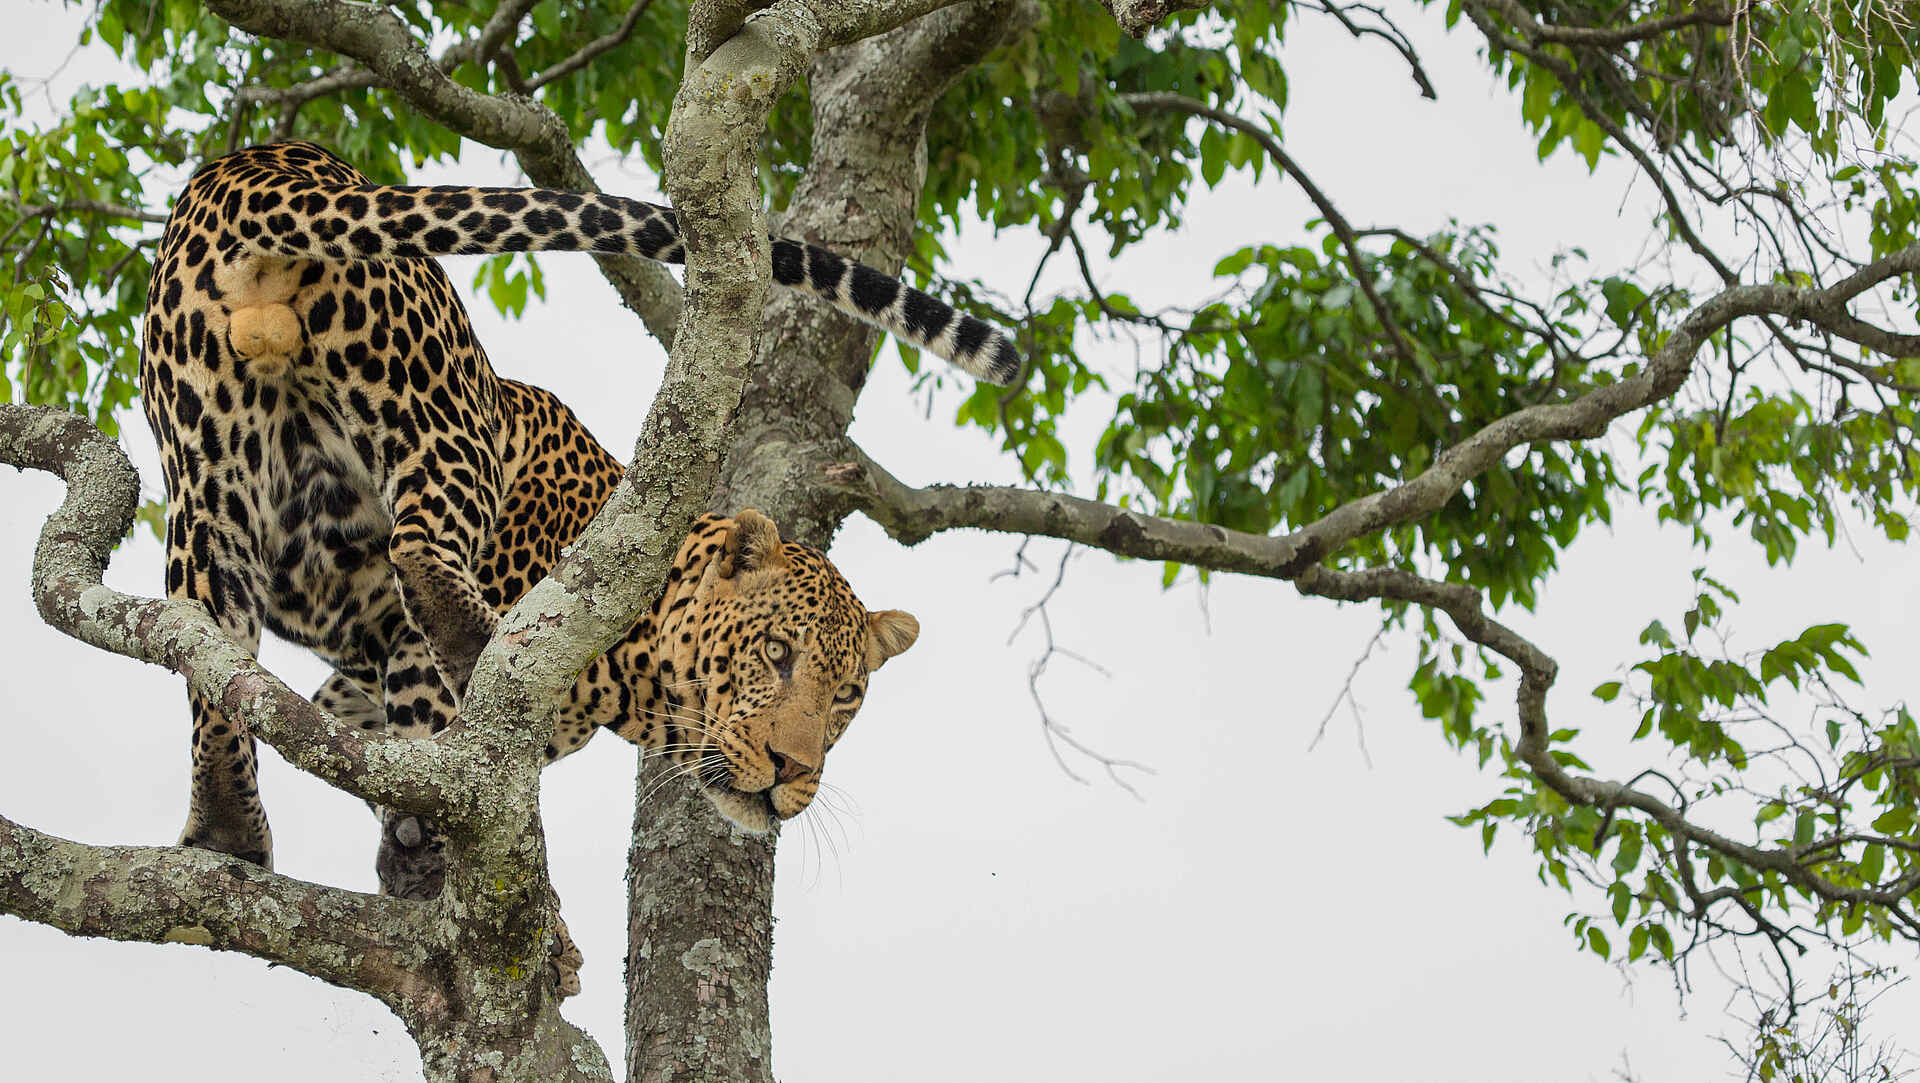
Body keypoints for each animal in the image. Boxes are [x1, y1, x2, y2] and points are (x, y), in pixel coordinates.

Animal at [139, 141, 1014, 990]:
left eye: (848, 696)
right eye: (776, 652)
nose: (791, 768)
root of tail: (257, 163)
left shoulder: (354, 681)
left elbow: (353, 744)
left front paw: (410, 852)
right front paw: (501, 909)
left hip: (207, 475)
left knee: (208, 645)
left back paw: (227, 826)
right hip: (442, 403)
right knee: (419, 555)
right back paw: (476, 651)